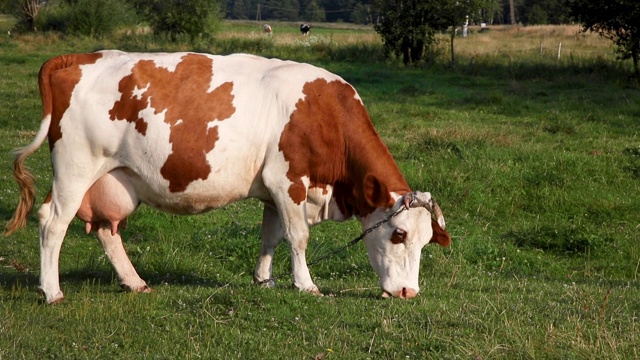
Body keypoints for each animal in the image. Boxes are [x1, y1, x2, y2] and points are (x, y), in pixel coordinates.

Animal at [5, 50, 450, 304]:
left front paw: (264, 281)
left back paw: (134, 282)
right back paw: (52, 291)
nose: (409, 292)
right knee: (52, 223)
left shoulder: (272, 190)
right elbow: (298, 237)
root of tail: (79, 57)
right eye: (399, 234)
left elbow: (271, 236)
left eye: (427, 239)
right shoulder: (288, 180)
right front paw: (305, 285)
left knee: (105, 230)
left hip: (114, 179)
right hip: (75, 168)